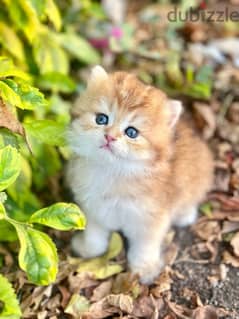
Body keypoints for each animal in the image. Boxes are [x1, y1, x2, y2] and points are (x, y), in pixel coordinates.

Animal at [66, 65, 214, 284]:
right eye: (101, 119)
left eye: (132, 132)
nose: (109, 137)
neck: (115, 172)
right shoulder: (94, 210)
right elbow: (95, 238)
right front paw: (86, 248)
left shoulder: (150, 220)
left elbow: (145, 247)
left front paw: (144, 269)